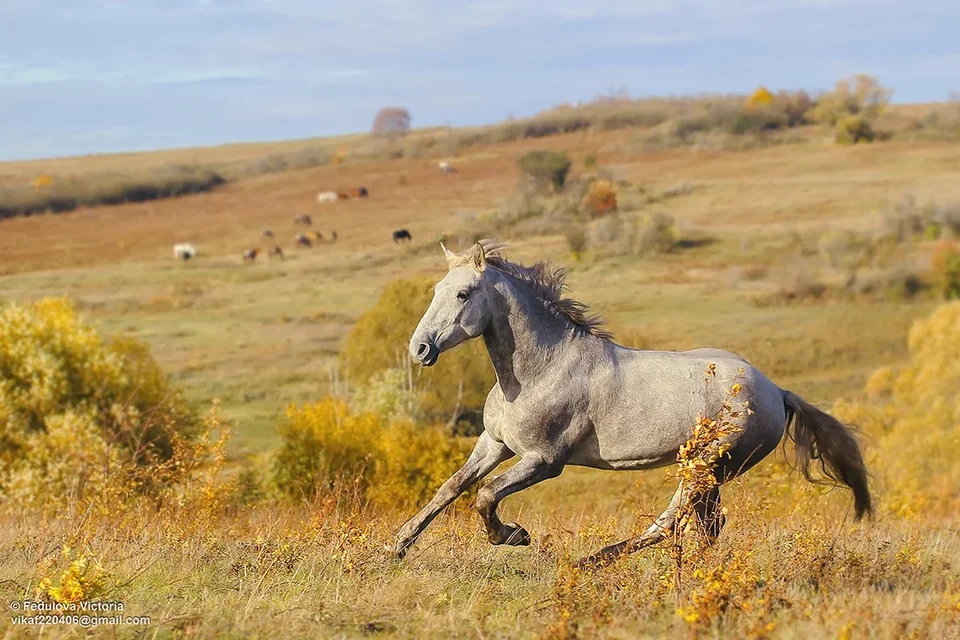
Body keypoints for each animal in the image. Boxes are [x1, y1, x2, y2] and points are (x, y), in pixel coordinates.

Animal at [394, 242, 872, 568]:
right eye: (437, 288)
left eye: (463, 294)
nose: (419, 349)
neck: (541, 370)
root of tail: (776, 392)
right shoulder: (494, 443)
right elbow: (451, 488)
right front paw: (396, 545)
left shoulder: (544, 460)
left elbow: (486, 495)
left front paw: (514, 536)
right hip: (706, 471)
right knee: (701, 525)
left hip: (706, 466)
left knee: (672, 521)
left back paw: (591, 561)